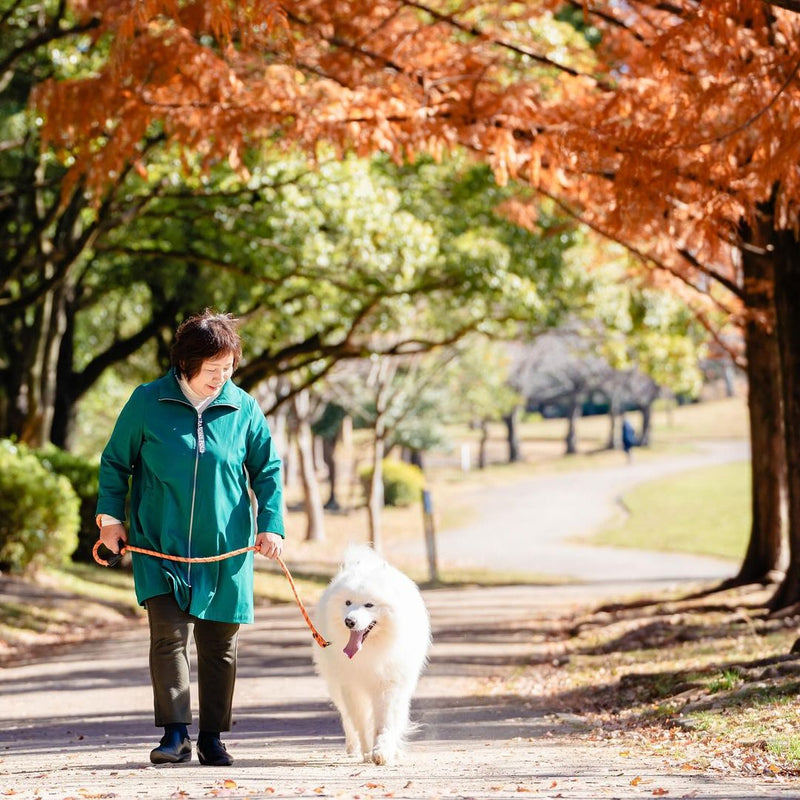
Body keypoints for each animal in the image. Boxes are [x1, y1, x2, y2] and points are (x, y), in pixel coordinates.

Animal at [314, 544, 434, 764]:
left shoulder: (388, 684)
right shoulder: (351, 686)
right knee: (347, 719)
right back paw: (352, 748)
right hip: (335, 685)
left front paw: (382, 751)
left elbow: (384, 724)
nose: (349, 621)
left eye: (369, 605)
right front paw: (367, 751)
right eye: (347, 603)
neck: (370, 651)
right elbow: (360, 722)